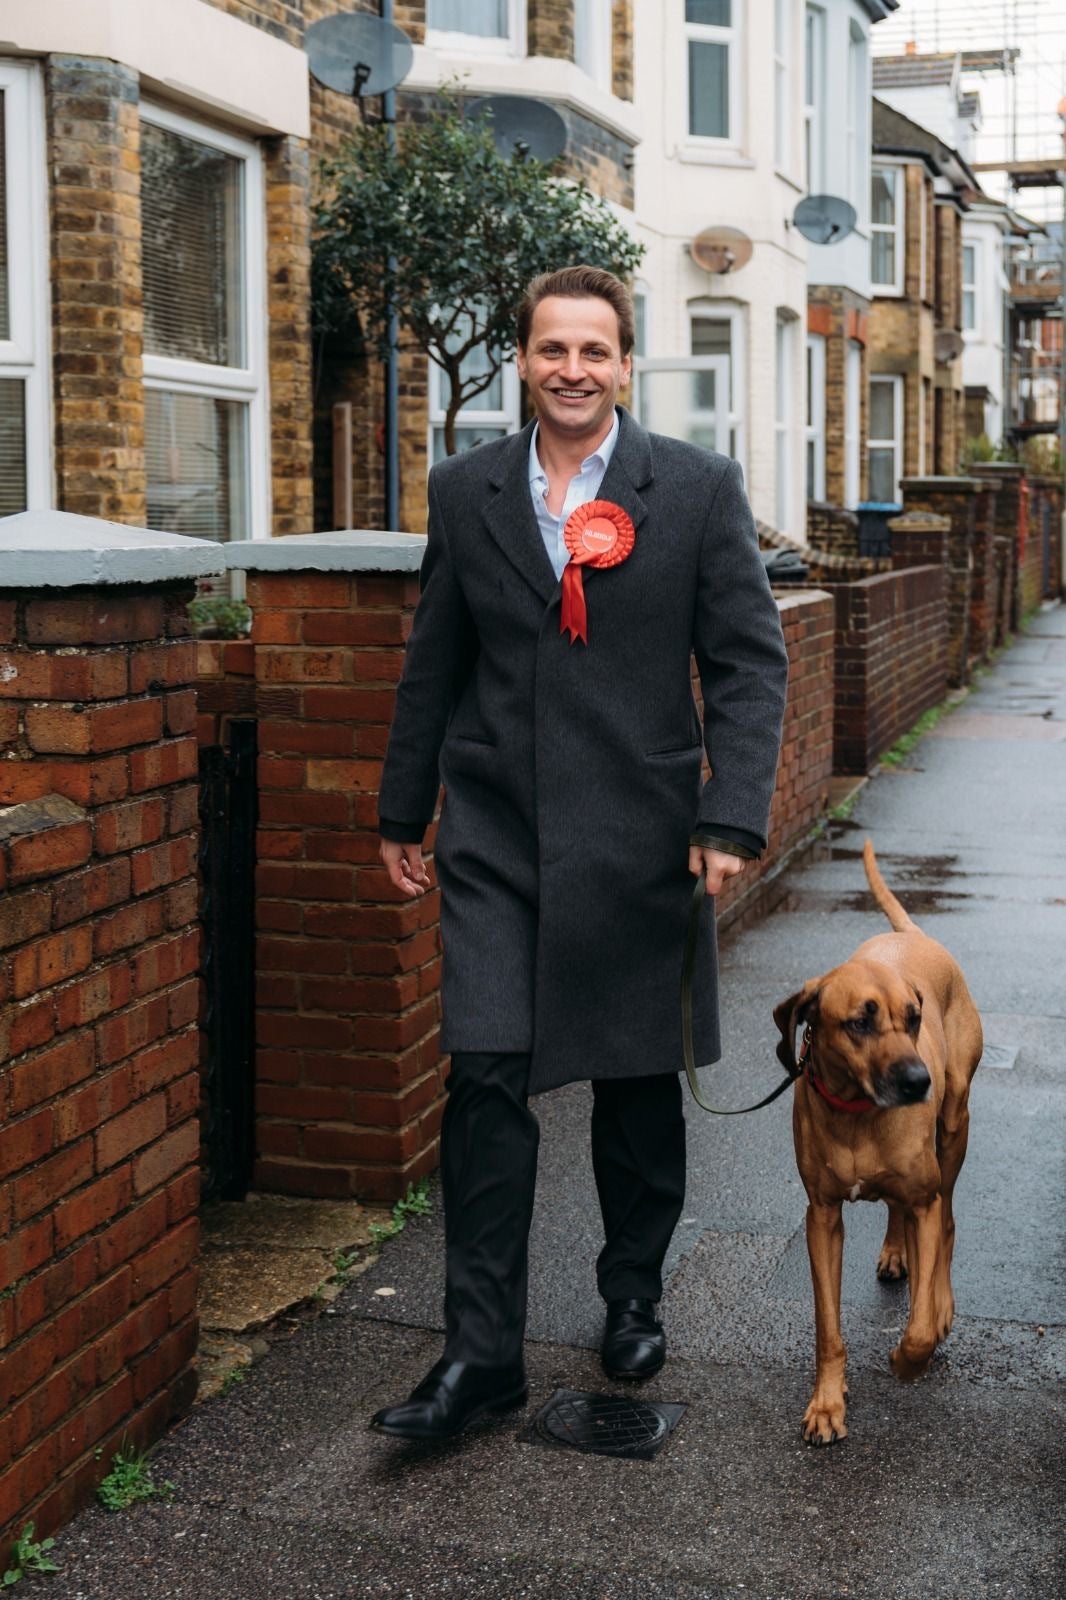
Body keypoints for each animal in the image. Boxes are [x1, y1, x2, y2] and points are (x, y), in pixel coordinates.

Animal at [771, 844, 979, 1446]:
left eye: (913, 1019)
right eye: (859, 1023)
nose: (918, 1082)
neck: (857, 1115)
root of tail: (914, 933)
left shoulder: (926, 1197)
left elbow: (919, 1327)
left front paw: (910, 1356)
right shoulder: (821, 1216)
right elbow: (827, 1327)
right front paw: (826, 1405)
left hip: (954, 1126)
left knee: (947, 1219)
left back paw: (938, 1296)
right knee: (896, 1209)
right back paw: (895, 1250)